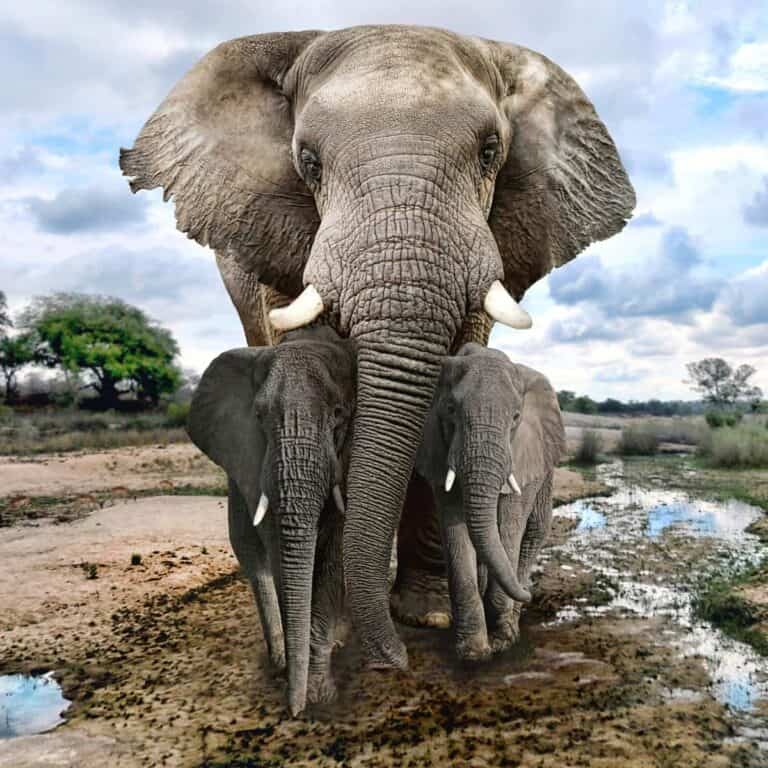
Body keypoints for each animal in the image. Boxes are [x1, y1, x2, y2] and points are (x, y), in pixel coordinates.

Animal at [187, 326, 356, 715]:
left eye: (339, 413)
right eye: (260, 416)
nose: (293, 712)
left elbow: (335, 550)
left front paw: (318, 695)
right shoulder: (254, 460)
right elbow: (277, 547)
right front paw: (304, 687)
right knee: (251, 554)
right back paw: (279, 660)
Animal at [416, 343, 565, 660]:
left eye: (516, 417)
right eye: (450, 410)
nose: (530, 593)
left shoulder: (522, 453)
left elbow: (509, 525)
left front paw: (503, 641)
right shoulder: (438, 448)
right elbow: (455, 528)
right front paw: (473, 652)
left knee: (534, 531)